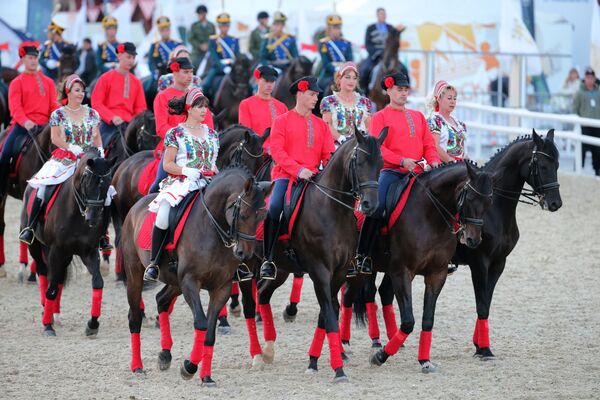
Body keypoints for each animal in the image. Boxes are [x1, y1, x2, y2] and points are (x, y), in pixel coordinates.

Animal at [22, 152, 116, 336]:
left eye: (108, 182)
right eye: (87, 180)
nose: (93, 218)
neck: (76, 213)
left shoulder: (89, 252)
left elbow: (97, 282)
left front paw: (93, 324)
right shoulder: (56, 250)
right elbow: (51, 289)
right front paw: (47, 326)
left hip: (63, 254)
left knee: (57, 277)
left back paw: (55, 314)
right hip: (36, 247)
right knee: (43, 273)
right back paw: (47, 312)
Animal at [122, 164, 272, 386]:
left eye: (261, 218)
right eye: (243, 214)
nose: (245, 254)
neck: (212, 228)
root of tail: (135, 207)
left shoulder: (221, 288)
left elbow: (209, 332)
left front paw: (206, 376)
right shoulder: (190, 282)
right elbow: (200, 322)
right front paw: (189, 367)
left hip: (174, 282)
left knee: (162, 300)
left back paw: (165, 355)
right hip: (135, 274)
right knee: (134, 317)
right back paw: (137, 366)